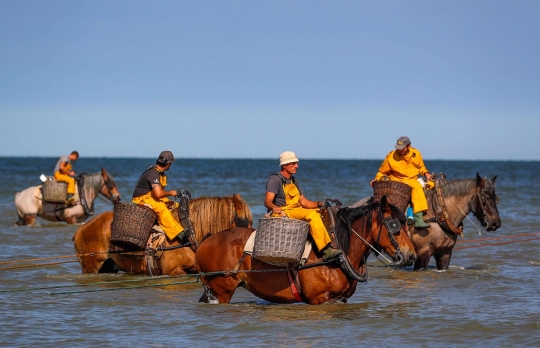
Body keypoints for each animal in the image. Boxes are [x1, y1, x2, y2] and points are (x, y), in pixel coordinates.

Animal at [196, 196, 416, 304]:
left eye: (406, 223)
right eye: (394, 224)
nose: (411, 255)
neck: (340, 250)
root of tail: (205, 242)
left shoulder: (341, 300)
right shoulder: (319, 300)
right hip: (222, 290)